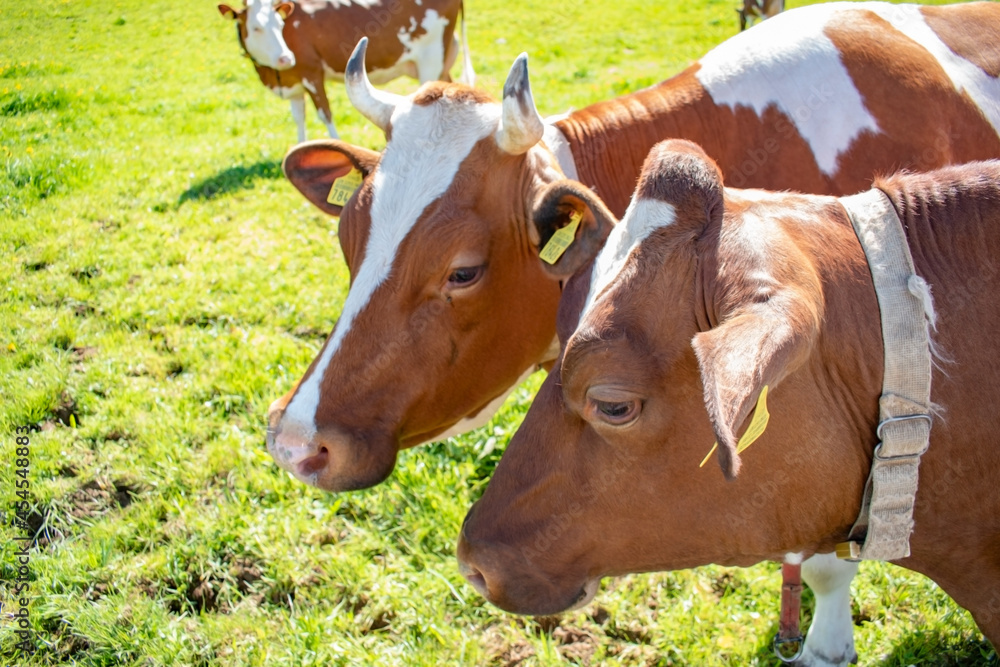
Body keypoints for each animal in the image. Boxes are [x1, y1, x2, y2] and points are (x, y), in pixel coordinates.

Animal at [217, 0, 474, 141]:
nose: (285, 58)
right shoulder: (294, 81)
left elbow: (325, 114)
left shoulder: (311, 74)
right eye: (256, 28)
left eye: (279, 24)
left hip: (430, 60)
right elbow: (299, 117)